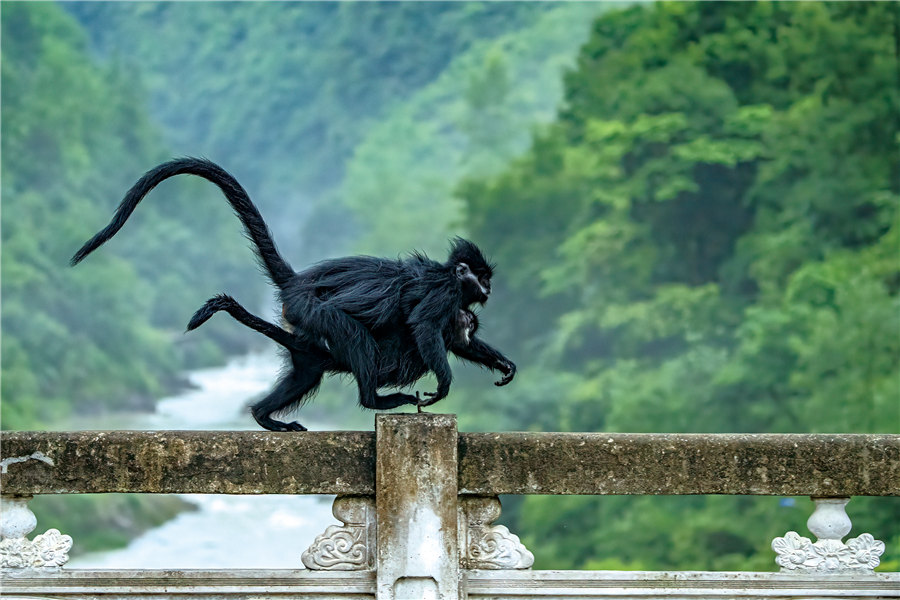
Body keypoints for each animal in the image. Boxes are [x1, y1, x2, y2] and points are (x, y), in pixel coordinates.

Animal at [185, 296, 512, 426]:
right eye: (468, 322)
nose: (470, 327)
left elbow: (460, 348)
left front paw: (505, 366)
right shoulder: (435, 321)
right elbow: (427, 337)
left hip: (309, 362)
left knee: (301, 381)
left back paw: (263, 415)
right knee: (360, 345)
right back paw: (376, 399)